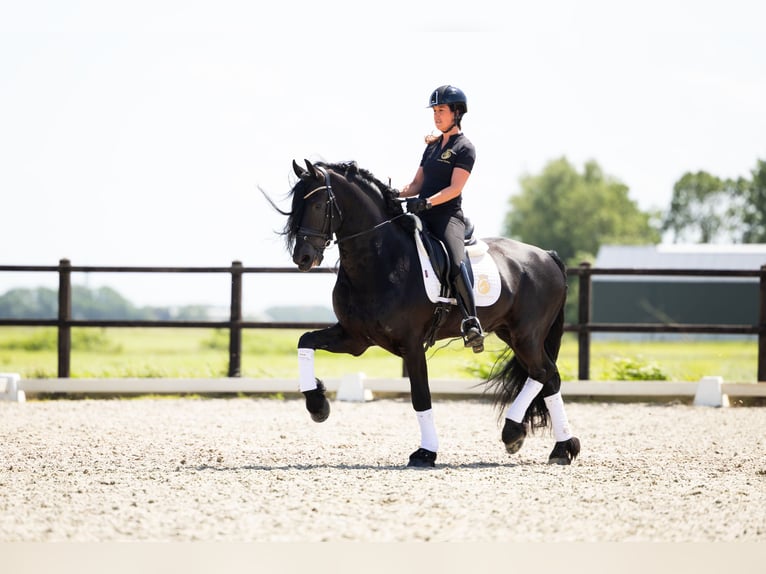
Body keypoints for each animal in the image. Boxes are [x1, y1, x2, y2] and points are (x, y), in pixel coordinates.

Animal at [268, 160, 580, 470]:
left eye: (317, 205)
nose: (303, 258)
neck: (381, 259)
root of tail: (547, 255)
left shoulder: (412, 344)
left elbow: (421, 397)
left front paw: (425, 453)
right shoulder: (355, 338)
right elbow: (305, 340)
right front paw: (317, 405)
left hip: (527, 334)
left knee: (544, 373)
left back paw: (525, 436)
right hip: (512, 333)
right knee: (549, 378)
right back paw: (555, 446)